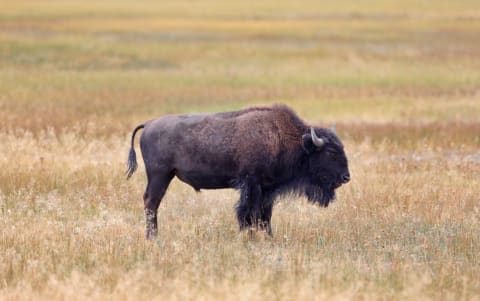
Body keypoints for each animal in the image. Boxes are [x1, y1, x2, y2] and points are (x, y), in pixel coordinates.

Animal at [125, 104, 348, 238]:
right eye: (330, 152)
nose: (346, 177)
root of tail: (149, 124)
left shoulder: (267, 190)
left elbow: (265, 215)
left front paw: (268, 236)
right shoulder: (251, 184)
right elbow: (247, 213)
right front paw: (248, 235)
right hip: (159, 175)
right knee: (151, 202)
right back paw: (153, 237)